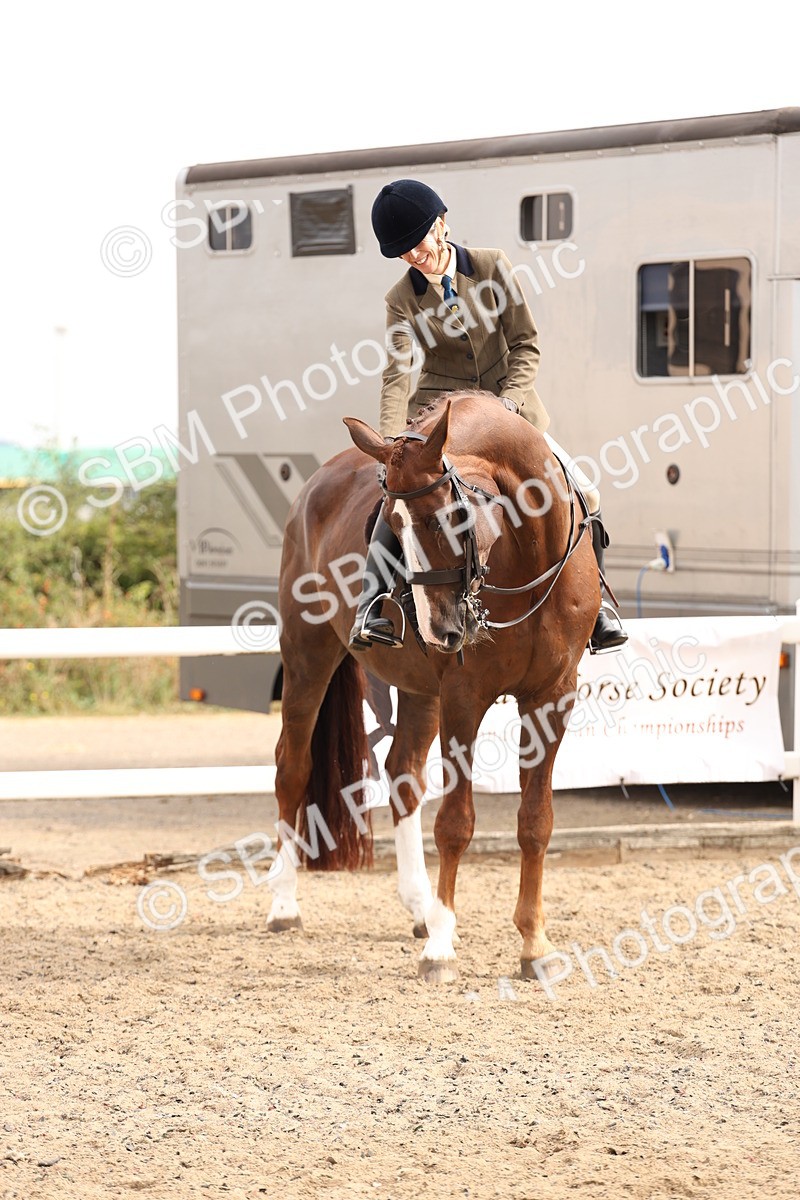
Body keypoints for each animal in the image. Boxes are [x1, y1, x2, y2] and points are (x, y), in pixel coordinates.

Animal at [266, 390, 599, 983]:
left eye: (452, 516)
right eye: (391, 528)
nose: (441, 629)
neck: (527, 554)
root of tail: (318, 481)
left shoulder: (553, 696)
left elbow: (536, 820)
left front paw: (534, 945)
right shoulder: (465, 697)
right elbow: (455, 823)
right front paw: (442, 949)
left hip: (421, 690)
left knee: (403, 776)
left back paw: (420, 908)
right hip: (308, 656)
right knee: (293, 767)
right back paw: (285, 904)